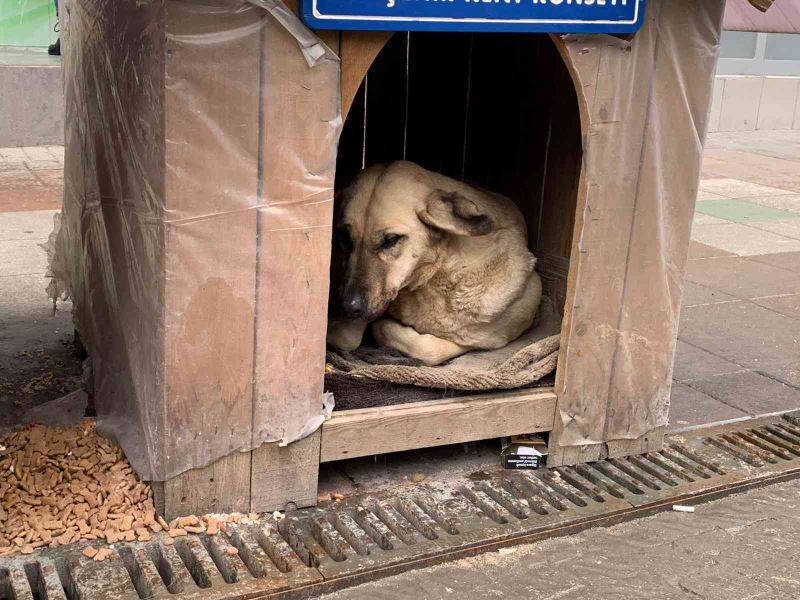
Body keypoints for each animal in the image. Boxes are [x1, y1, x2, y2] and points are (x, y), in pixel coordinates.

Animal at [326, 161, 544, 366]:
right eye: (344, 238)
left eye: (391, 240)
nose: (348, 307)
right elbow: (346, 337)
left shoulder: (484, 337)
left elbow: (429, 348)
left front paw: (382, 326)